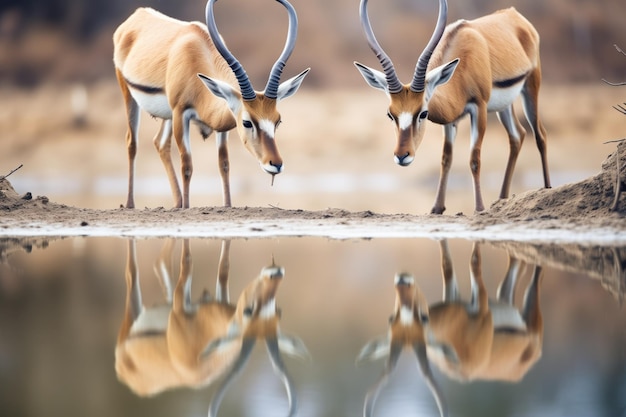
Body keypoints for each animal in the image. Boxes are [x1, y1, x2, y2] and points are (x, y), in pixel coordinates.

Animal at [113, 0, 308, 208]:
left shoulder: (219, 126)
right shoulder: (180, 113)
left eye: (277, 121)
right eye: (247, 122)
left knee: (161, 143)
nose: (275, 164)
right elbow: (187, 165)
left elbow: (224, 164)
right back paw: (131, 204)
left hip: (167, 115)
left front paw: (227, 205)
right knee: (132, 142)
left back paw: (177, 202)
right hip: (129, 95)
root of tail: (138, 15)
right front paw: (187, 207)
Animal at [115, 239, 310, 414]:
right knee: (131, 273)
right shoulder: (180, 306)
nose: (276, 273)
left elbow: (224, 268)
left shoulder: (218, 299)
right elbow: (187, 261)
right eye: (249, 310)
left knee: (160, 262)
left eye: (278, 311)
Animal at [354, 0, 548, 213]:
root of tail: (513, 14)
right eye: (390, 114)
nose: (402, 155)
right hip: (504, 106)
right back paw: (502, 199)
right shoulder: (451, 120)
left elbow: (474, 159)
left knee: (540, 135)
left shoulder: (479, 108)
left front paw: (479, 208)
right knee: (517, 136)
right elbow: (446, 158)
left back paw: (547, 189)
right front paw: (437, 208)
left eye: (423, 113)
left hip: (531, 88)